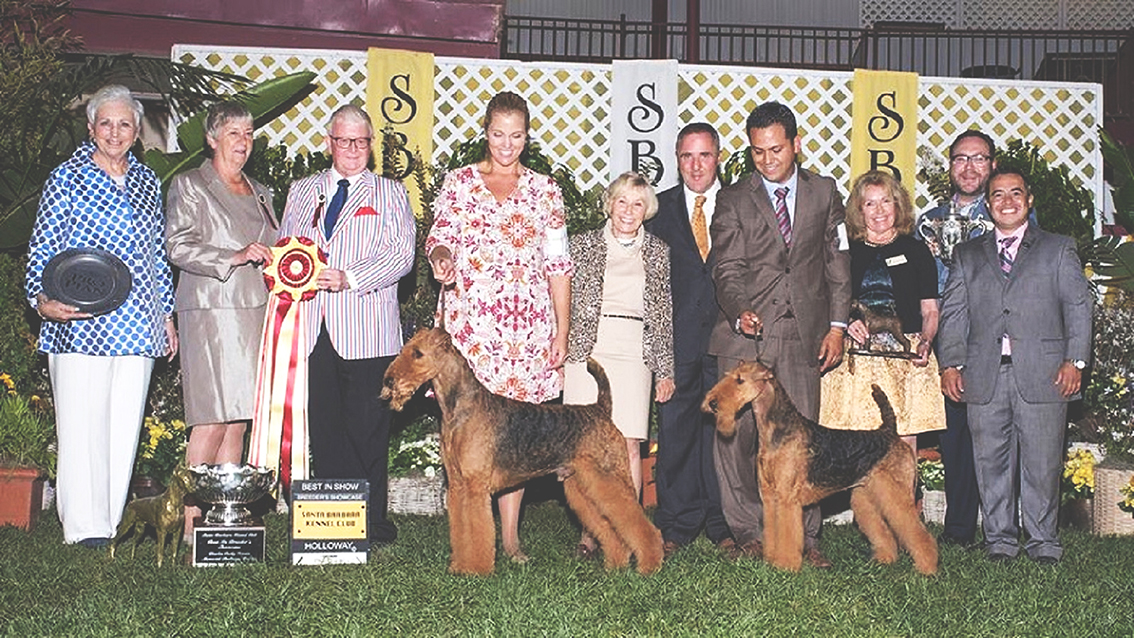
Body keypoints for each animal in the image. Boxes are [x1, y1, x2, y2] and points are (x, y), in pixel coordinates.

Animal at [383, 328, 662, 580]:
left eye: (417, 353)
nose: (389, 382)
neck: (459, 408)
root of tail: (601, 409)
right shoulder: (458, 485)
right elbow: (461, 530)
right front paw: (460, 566)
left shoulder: (475, 487)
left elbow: (477, 530)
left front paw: (476, 570)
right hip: (582, 485)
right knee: (609, 528)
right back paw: (616, 564)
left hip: (608, 478)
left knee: (638, 524)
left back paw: (649, 565)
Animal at [703, 362, 934, 575]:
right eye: (730, 376)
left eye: (740, 380)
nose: (712, 403)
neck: (774, 430)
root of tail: (889, 432)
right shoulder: (769, 497)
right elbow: (772, 530)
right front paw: (771, 560)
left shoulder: (787, 498)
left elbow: (788, 534)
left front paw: (785, 565)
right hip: (866, 496)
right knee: (883, 531)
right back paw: (885, 559)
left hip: (896, 493)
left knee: (917, 531)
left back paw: (926, 568)